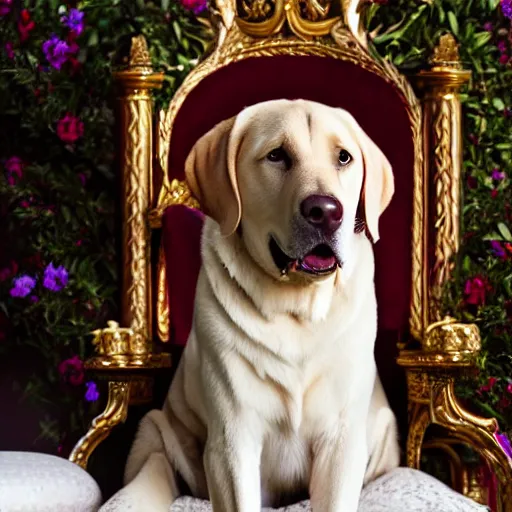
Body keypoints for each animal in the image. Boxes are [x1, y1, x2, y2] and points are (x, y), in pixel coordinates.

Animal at [114, 98, 402, 510]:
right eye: (276, 155)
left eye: (344, 157)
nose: (327, 211)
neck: (296, 307)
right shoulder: (232, 440)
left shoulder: (342, 443)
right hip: (153, 429)